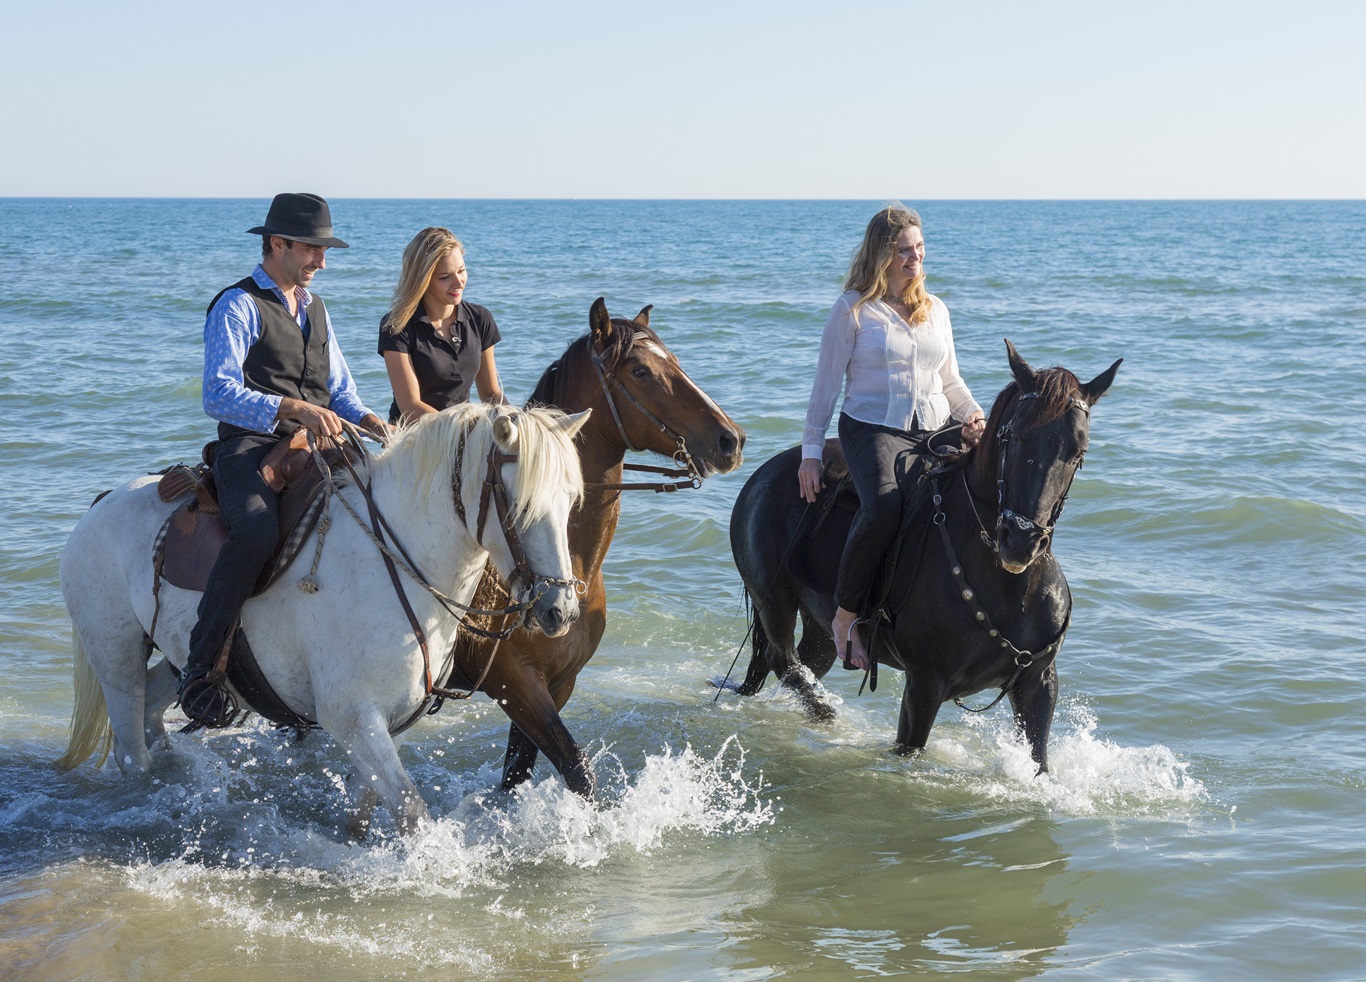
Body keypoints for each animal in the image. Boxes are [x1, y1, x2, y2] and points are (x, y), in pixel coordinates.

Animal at [56, 404, 587, 835]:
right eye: (519, 504)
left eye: (570, 502)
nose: (558, 610)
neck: (396, 562)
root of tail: (102, 502)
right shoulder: (353, 717)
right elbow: (411, 811)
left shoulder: (387, 722)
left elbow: (363, 811)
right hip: (116, 656)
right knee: (131, 748)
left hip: (183, 660)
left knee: (153, 710)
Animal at [448, 296, 748, 797]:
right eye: (641, 371)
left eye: (674, 361)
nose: (731, 439)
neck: (570, 562)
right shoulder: (515, 683)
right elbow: (576, 768)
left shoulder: (558, 684)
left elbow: (518, 772)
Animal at [726, 341, 1120, 770]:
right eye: (1013, 437)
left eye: (1078, 451)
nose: (1019, 540)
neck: (1009, 588)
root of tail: (765, 473)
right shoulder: (924, 687)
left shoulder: (1038, 685)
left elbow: (1039, 763)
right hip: (774, 601)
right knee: (783, 660)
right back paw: (828, 716)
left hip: (822, 627)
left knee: (804, 662)